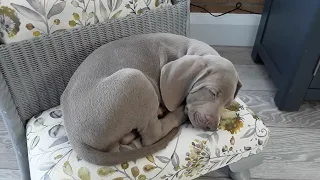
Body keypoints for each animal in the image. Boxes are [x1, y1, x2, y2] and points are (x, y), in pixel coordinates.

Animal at [60, 32, 241, 166]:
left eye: (227, 104)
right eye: (212, 92)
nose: (212, 127)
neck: (187, 50)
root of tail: (75, 138)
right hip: (135, 79)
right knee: (151, 136)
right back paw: (178, 114)